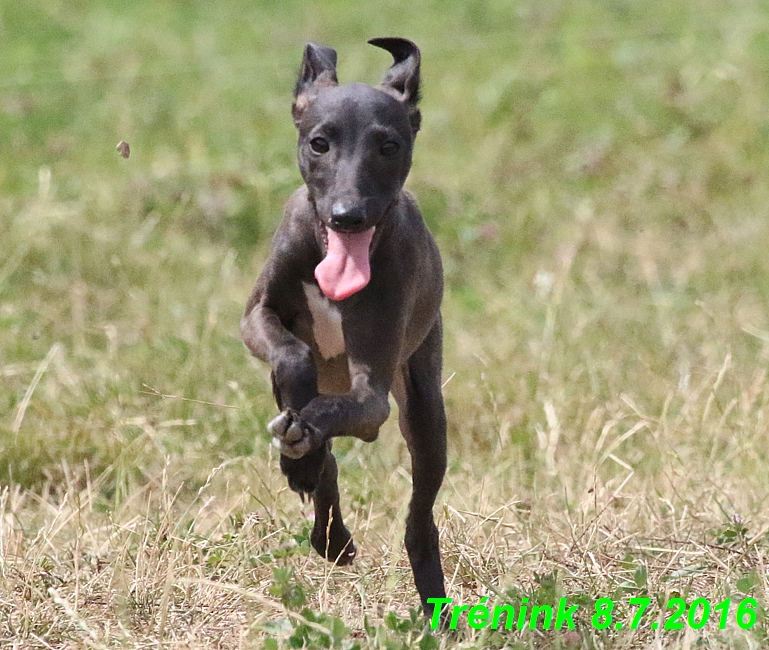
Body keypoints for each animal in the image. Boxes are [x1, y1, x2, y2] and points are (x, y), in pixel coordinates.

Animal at [238, 38, 444, 616]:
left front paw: (306, 435)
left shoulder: (372, 394)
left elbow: (342, 412)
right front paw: (302, 449)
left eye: (389, 145)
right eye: (319, 143)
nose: (348, 215)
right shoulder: (257, 317)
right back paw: (328, 529)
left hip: (425, 407)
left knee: (420, 520)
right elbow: (291, 356)